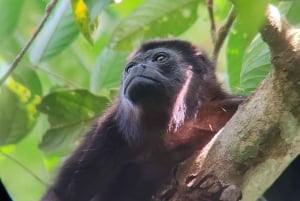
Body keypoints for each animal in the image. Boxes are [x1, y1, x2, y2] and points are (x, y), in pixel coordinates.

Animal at [41, 39, 244, 201]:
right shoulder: (108, 132)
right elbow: (63, 193)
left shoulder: (227, 107)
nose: (136, 69)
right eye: (129, 68)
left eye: (160, 58)